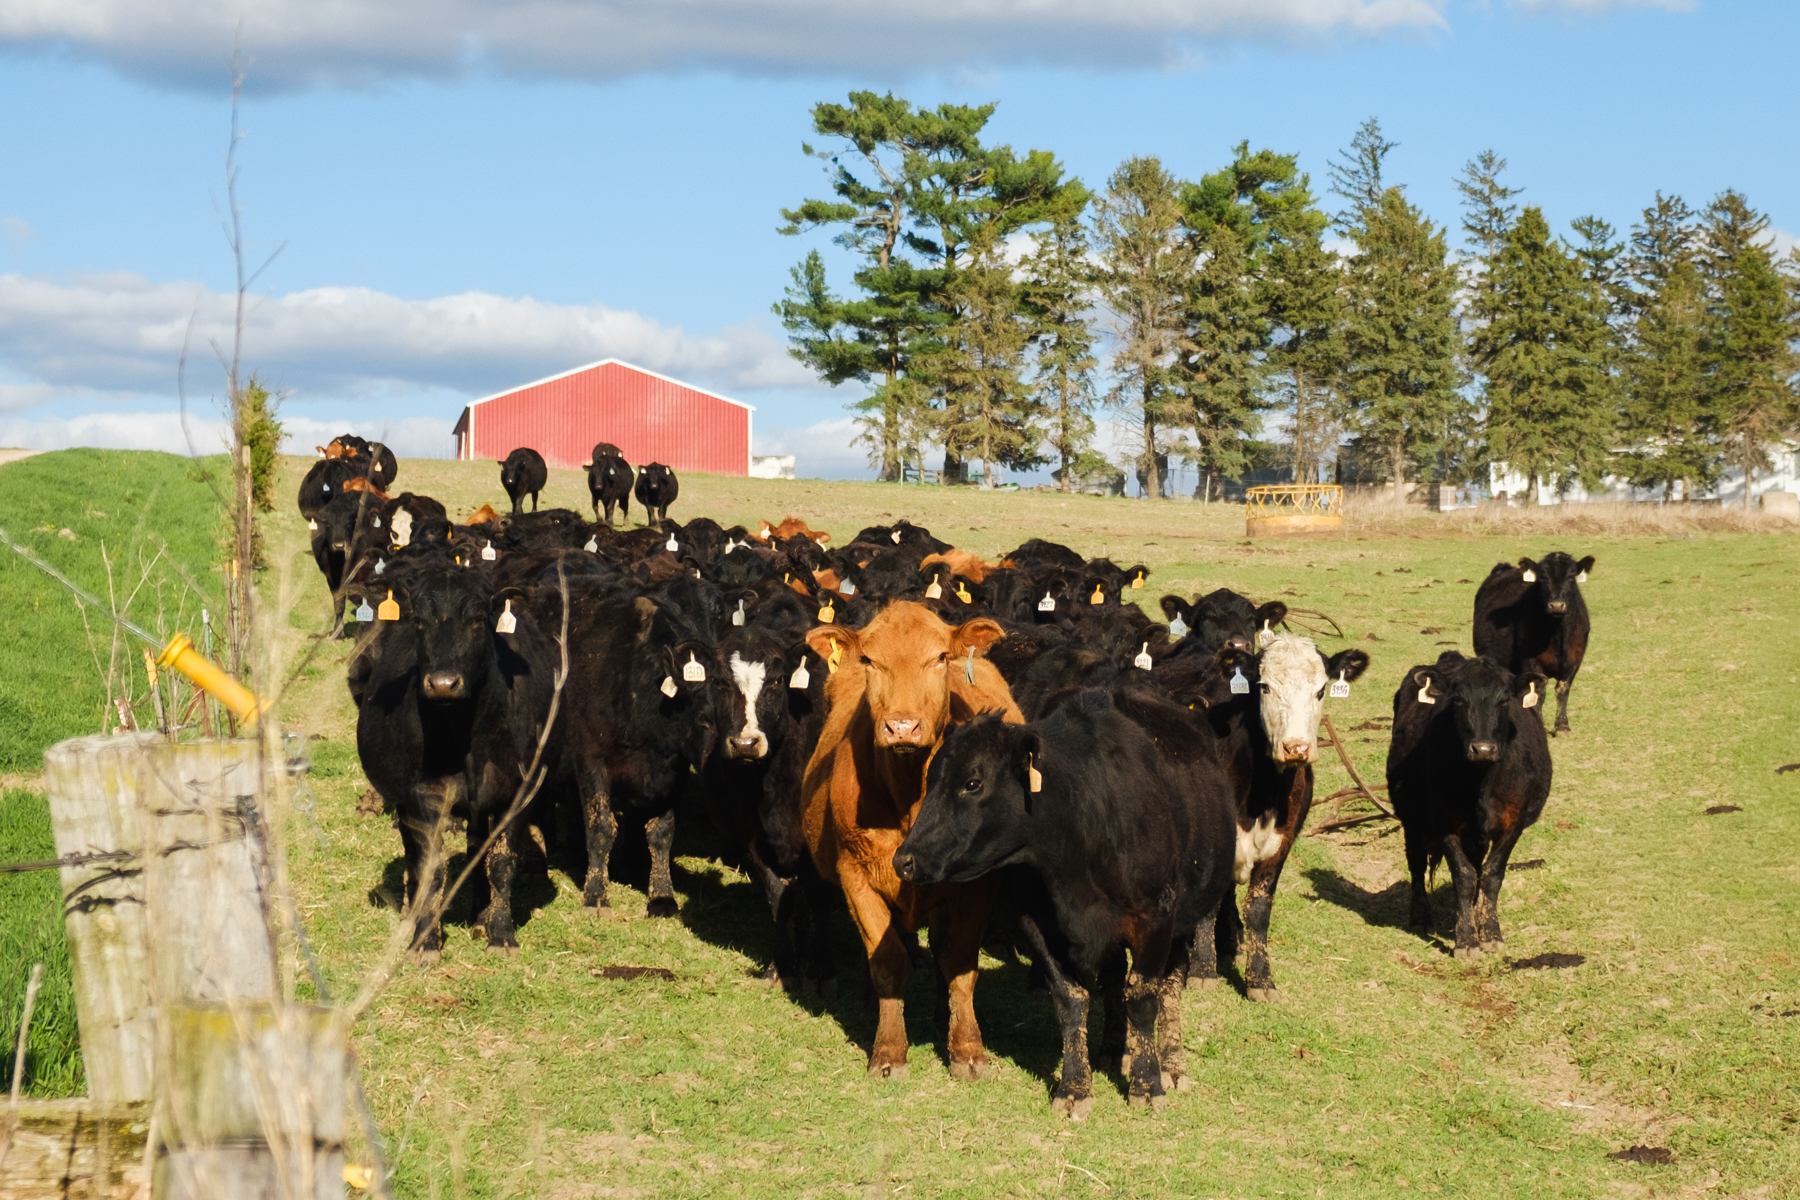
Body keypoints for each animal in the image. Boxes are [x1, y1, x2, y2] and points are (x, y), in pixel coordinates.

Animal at [801, 601, 1019, 1079]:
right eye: (869, 660)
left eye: (939, 657)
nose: (902, 726)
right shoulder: (855, 873)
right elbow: (887, 960)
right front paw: (888, 1050)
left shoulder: (977, 885)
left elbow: (959, 962)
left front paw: (967, 1048)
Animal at [894, 689, 1235, 1116]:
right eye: (930, 779)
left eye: (972, 783)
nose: (904, 860)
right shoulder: (1037, 923)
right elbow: (1072, 1001)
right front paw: (1075, 1087)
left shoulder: (1155, 918)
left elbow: (1144, 996)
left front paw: (1147, 1083)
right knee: (1113, 981)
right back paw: (1114, 1048)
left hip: (1186, 918)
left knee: (1169, 987)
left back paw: (1171, 1063)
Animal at [1386, 652, 1553, 958]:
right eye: (1459, 700)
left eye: (1504, 700)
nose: (1483, 749)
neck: (1481, 781)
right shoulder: (1444, 821)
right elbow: (1463, 876)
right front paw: (1466, 941)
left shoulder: (1513, 823)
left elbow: (1490, 875)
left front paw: (1489, 933)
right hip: (1411, 816)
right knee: (1416, 863)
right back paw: (1420, 917)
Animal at [1473, 552, 1593, 735]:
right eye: (1543, 577)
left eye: (1571, 576)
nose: (1556, 605)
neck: (1557, 633)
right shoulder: (1531, 660)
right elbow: (1538, 692)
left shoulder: (1574, 659)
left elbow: (1563, 689)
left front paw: (1562, 726)